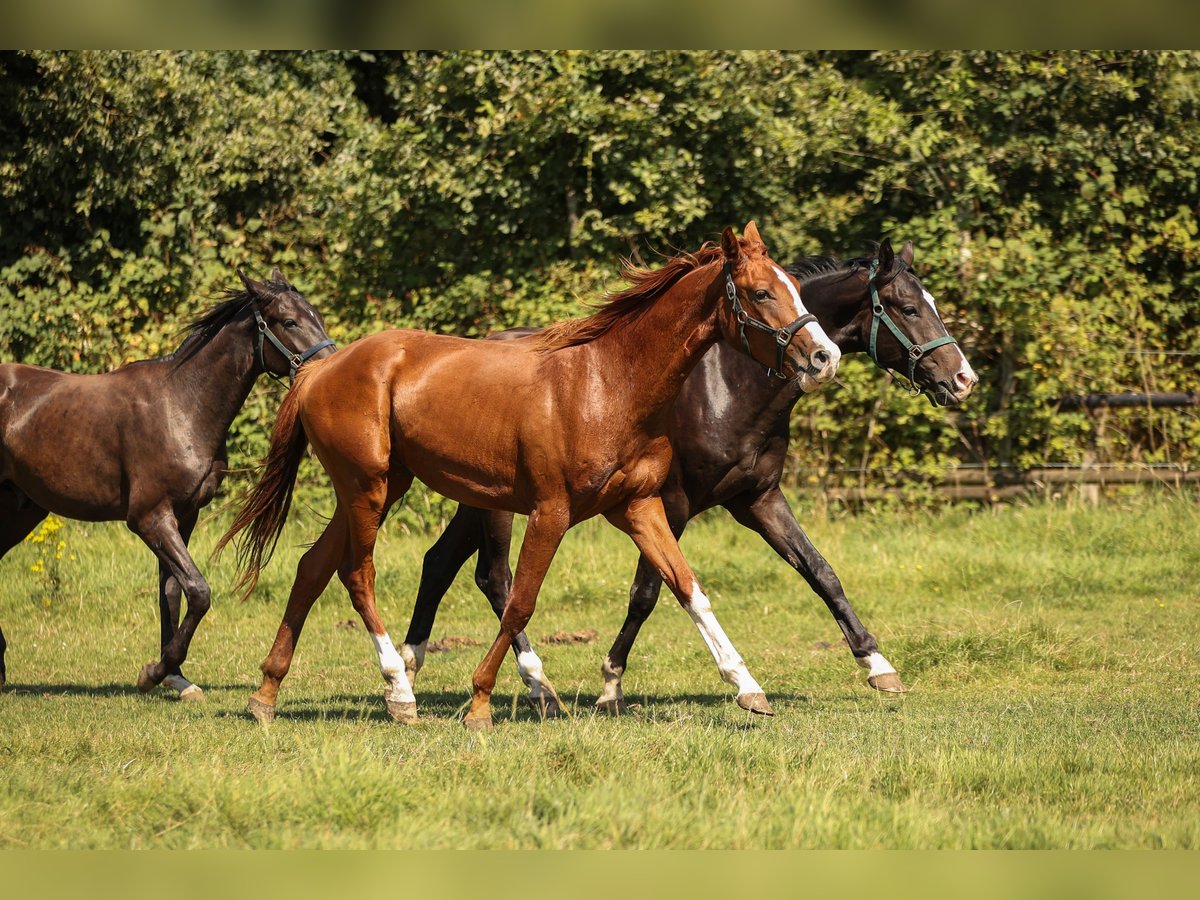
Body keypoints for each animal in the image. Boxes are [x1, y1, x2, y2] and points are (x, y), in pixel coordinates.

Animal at [0, 271, 336, 700]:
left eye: (318, 316)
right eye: (289, 322)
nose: (332, 370)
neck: (181, 406)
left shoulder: (183, 515)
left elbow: (173, 590)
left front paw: (176, 677)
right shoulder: (149, 519)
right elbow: (198, 591)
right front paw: (153, 672)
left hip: (20, 510)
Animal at [220, 222, 840, 729]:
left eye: (796, 287)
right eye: (762, 293)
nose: (824, 357)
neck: (609, 385)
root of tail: (321, 367)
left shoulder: (641, 508)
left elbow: (689, 590)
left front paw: (749, 688)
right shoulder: (551, 512)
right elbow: (520, 599)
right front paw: (480, 703)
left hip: (382, 486)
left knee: (312, 567)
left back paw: (266, 695)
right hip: (367, 488)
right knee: (357, 573)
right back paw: (399, 691)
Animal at [393, 237, 974, 710]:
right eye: (908, 308)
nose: (963, 379)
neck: (729, 384)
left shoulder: (758, 499)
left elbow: (820, 571)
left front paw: (879, 666)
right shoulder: (671, 504)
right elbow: (649, 592)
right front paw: (611, 683)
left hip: (479, 497)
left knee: (439, 562)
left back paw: (411, 668)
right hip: (500, 506)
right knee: (495, 578)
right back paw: (530, 685)